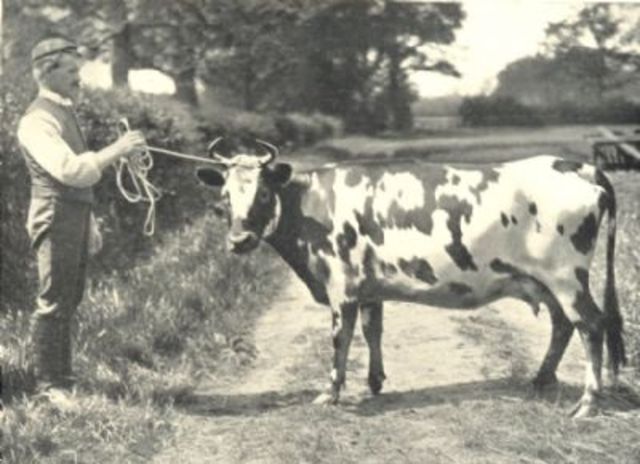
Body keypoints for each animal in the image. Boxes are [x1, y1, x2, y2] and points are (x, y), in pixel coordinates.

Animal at [196, 139, 626, 418]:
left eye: (263, 194)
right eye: (224, 199)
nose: (239, 240)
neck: (311, 207)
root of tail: (579, 166)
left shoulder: (341, 288)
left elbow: (340, 340)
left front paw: (330, 393)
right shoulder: (368, 288)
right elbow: (372, 330)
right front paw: (374, 381)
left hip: (566, 277)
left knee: (591, 325)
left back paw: (588, 403)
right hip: (547, 282)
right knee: (563, 326)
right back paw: (540, 379)